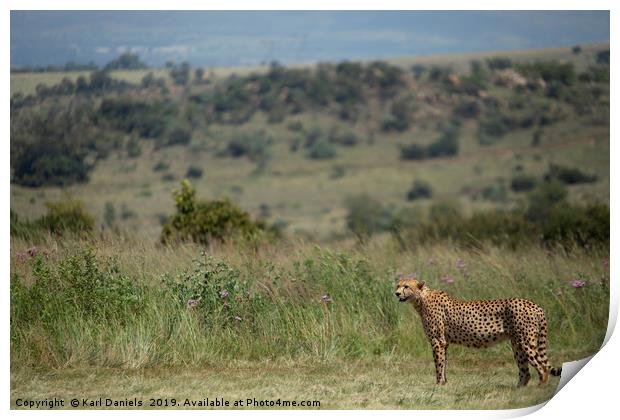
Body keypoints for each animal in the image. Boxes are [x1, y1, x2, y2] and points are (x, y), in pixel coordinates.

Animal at [398, 278, 560, 386]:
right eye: (398, 285)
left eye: (406, 286)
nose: (396, 293)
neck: (421, 298)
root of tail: (535, 305)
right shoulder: (444, 343)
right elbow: (444, 363)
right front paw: (444, 383)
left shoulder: (437, 341)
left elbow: (439, 364)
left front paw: (438, 385)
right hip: (517, 344)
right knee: (525, 371)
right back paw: (518, 390)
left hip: (525, 342)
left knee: (542, 368)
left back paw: (539, 388)